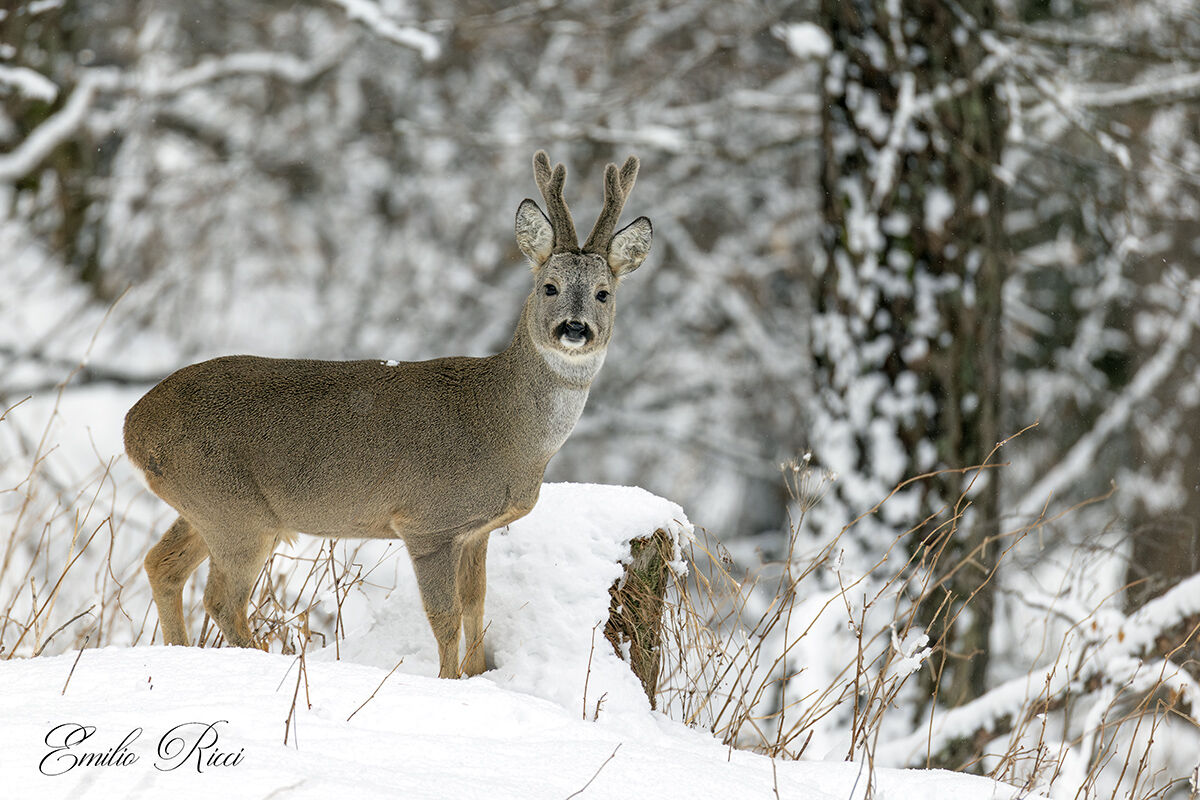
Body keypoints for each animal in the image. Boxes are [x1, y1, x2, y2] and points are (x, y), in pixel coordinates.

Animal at [124, 151, 652, 678]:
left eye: (604, 292)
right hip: (236, 513)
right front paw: (448, 682)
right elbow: (445, 615)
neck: (504, 426)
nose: (574, 329)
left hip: (206, 509)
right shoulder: (427, 522)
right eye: (549, 287)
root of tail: (134, 428)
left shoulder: (476, 530)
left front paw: (478, 677)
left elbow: (477, 603)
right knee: (221, 600)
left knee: (161, 565)